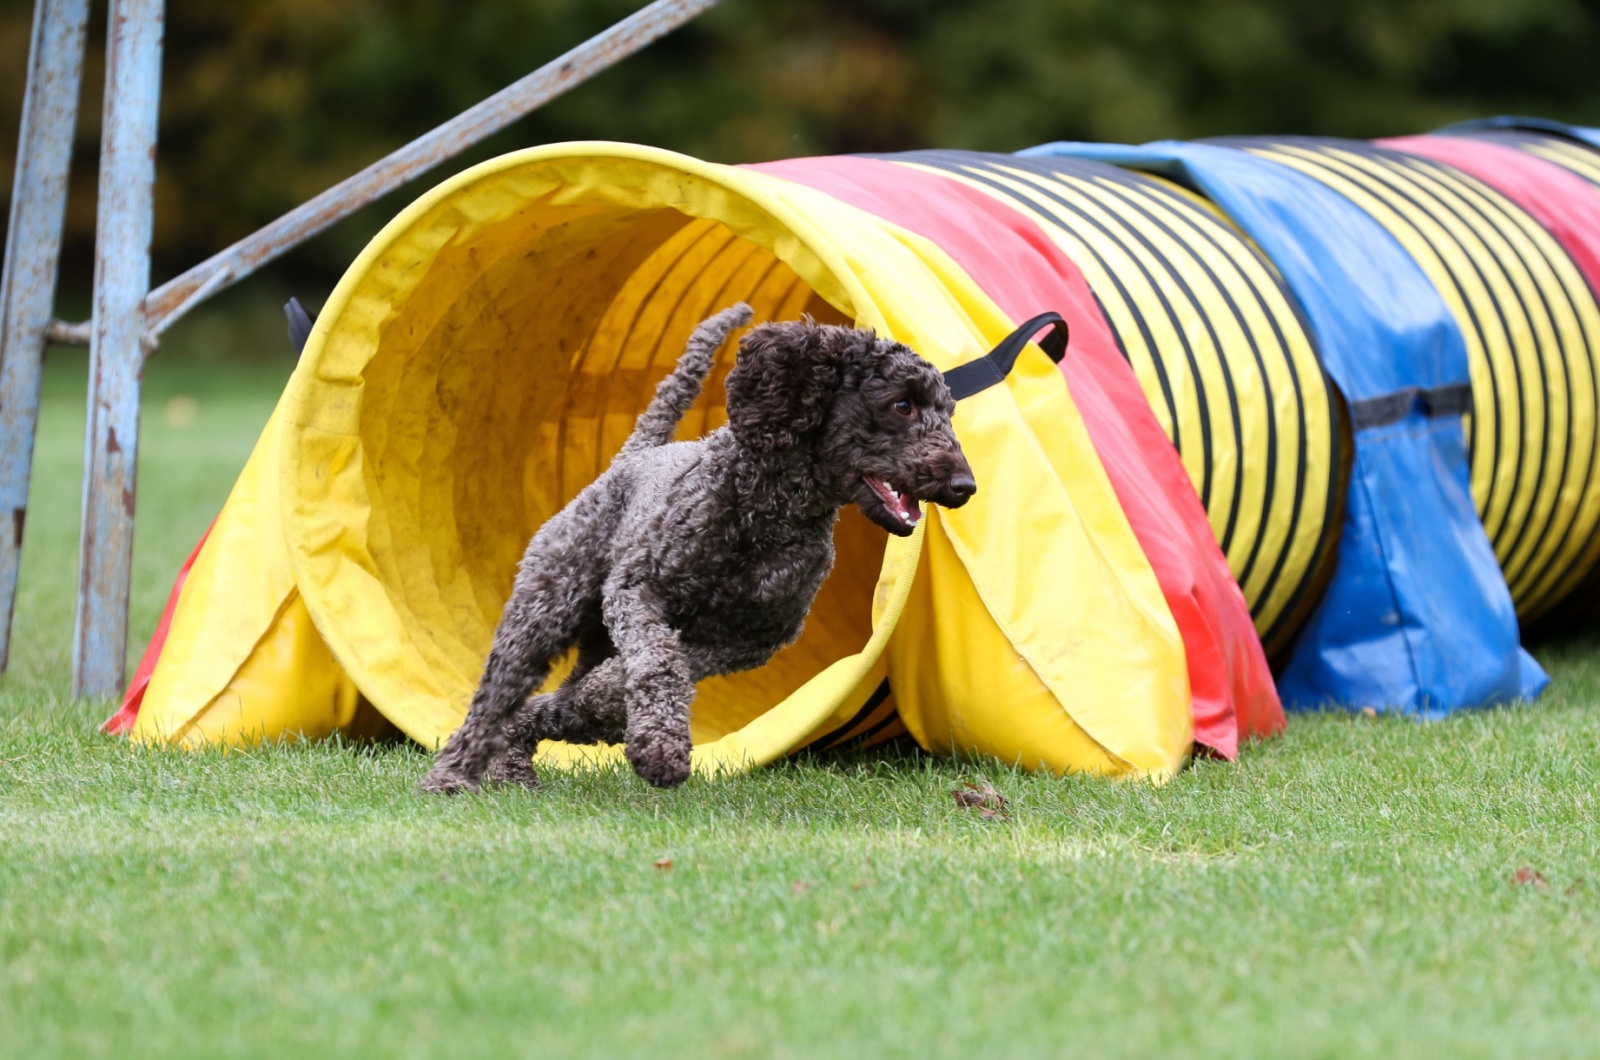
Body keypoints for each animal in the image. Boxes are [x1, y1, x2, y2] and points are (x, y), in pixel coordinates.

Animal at [422, 302, 972, 794]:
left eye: (948, 412)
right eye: (902, 405)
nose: (964, 486)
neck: (766, 513)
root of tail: (633, 457)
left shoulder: (748, 640)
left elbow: (666, 668)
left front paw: (613, 704)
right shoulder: (637, 591)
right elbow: (658, 659)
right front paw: (658, 748)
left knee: (552, 705)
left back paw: (522, 758)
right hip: (543, 609)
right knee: (495, 699)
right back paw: (452, 775)